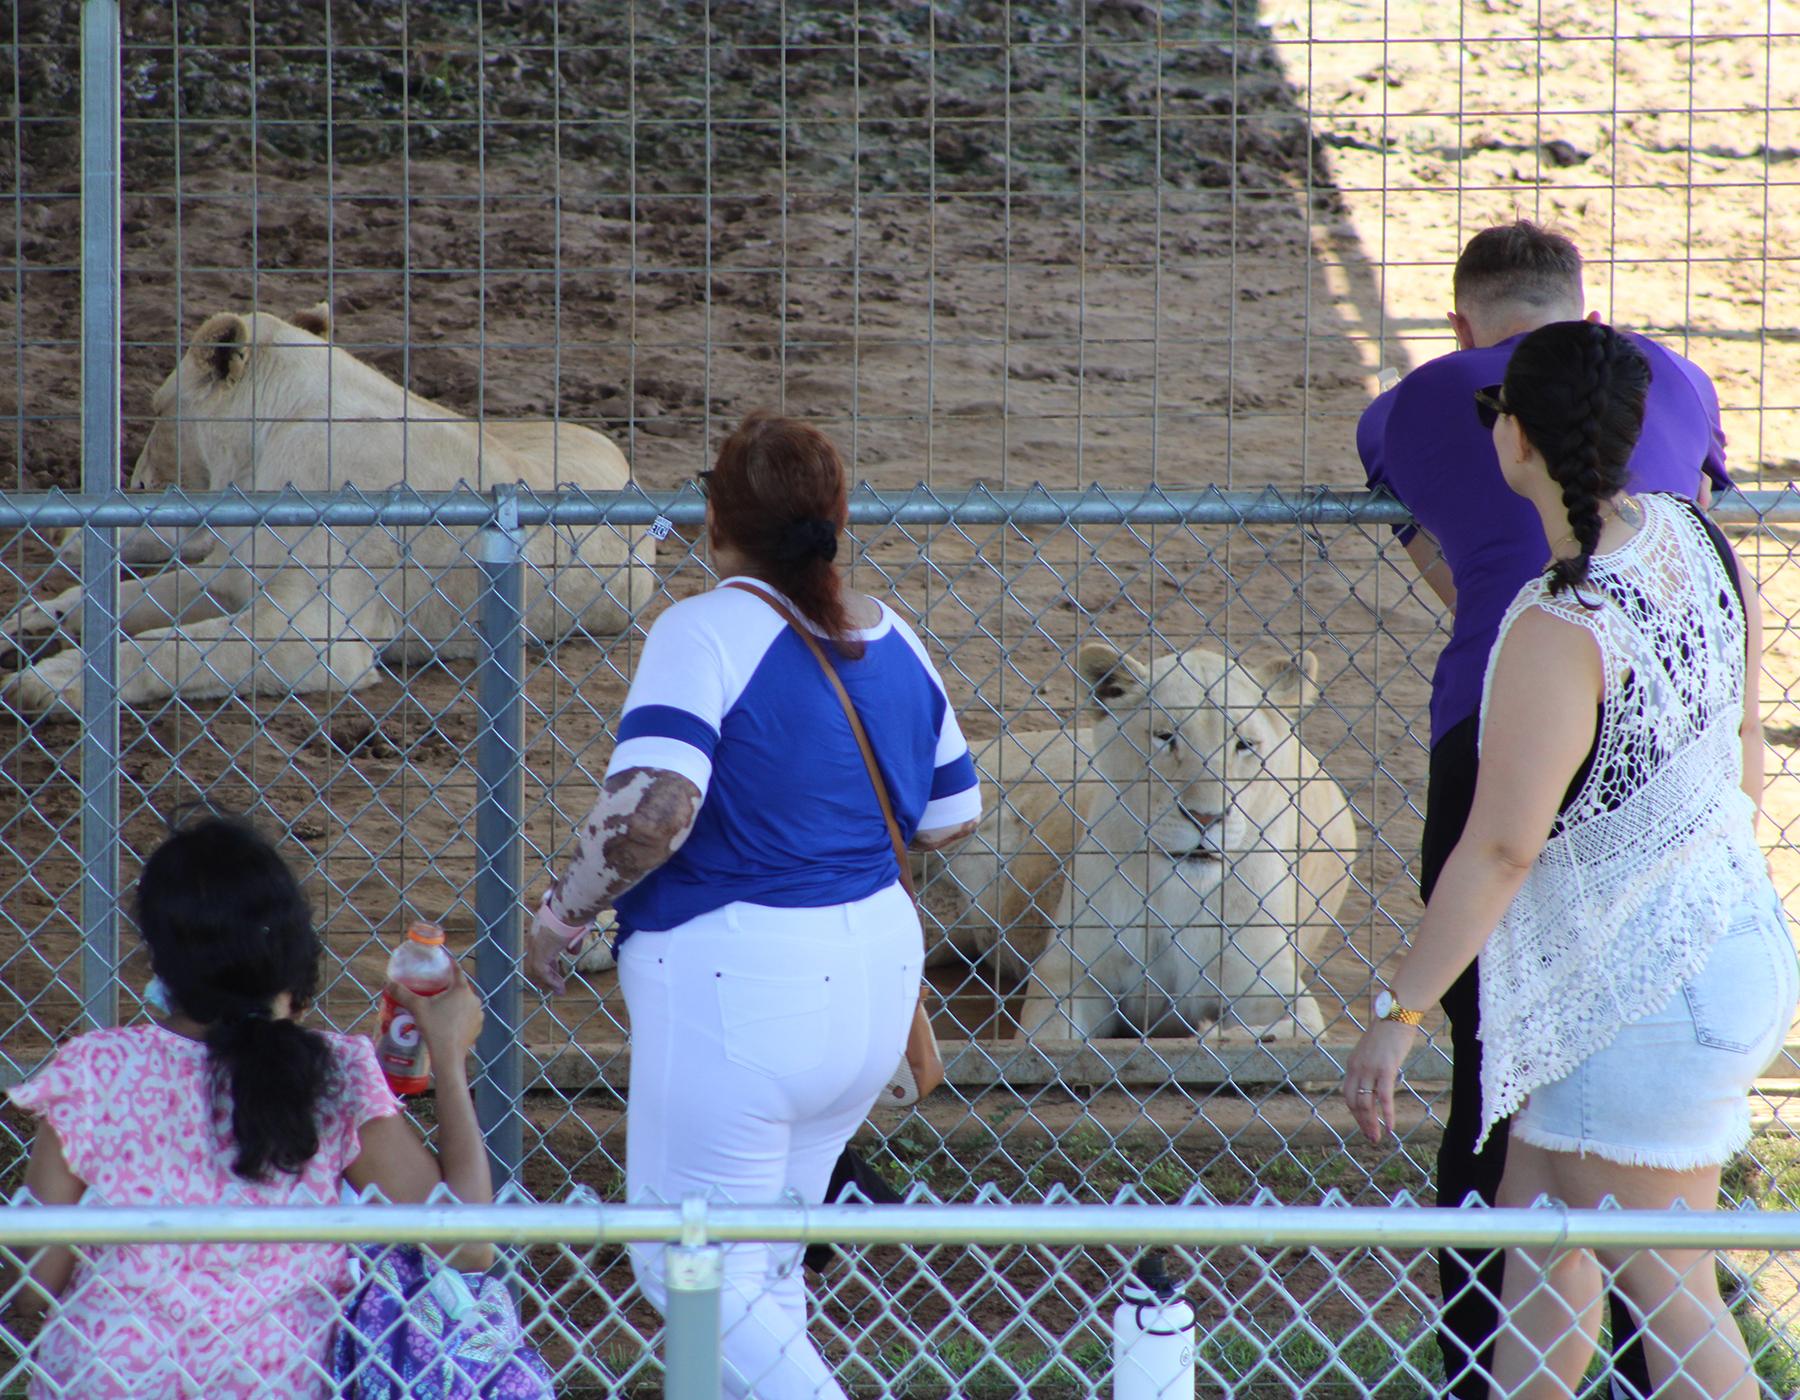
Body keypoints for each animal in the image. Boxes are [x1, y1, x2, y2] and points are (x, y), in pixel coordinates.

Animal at [7, 296, 655, 708]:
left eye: (159, 409)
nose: (138, 484)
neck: (266, 448)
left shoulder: (316, 629)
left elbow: (170, 646)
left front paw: (47, 680)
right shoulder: (238, 569)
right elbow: (132, 598)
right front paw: (32, 621)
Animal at [921, 640, 1353, 1036]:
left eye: (1244, 745)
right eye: (1165, 737)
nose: (1206, 817)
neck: (1177, 895)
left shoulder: (1269, 983)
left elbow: (1293, 1033)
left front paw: (1218, 1034)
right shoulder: (1072, 974)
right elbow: (1051, 1040)